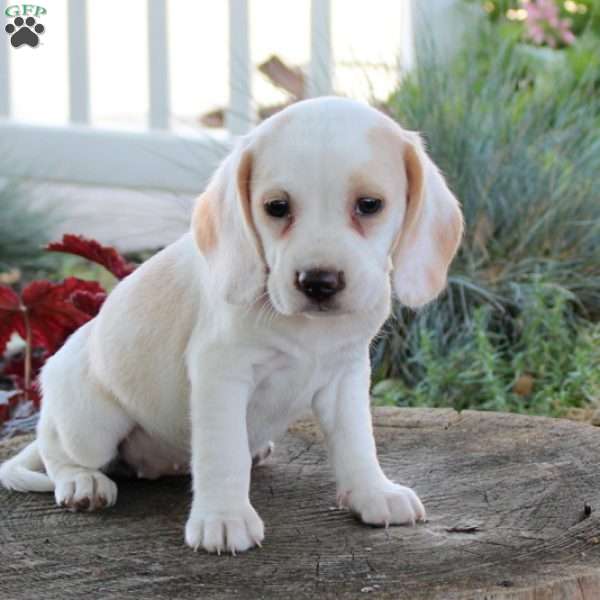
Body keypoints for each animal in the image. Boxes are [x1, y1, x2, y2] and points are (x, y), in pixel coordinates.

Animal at [0, 97, 464, 552]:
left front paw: (373, 492)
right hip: (89, 425)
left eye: (369, 205)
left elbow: (357, 441)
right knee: (55, 447)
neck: (308, 329)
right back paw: (81, 481)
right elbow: (224, 453)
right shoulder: (221, 374)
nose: (318, 282)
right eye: (277, 207)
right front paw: (223, 519)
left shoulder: (346, 375)